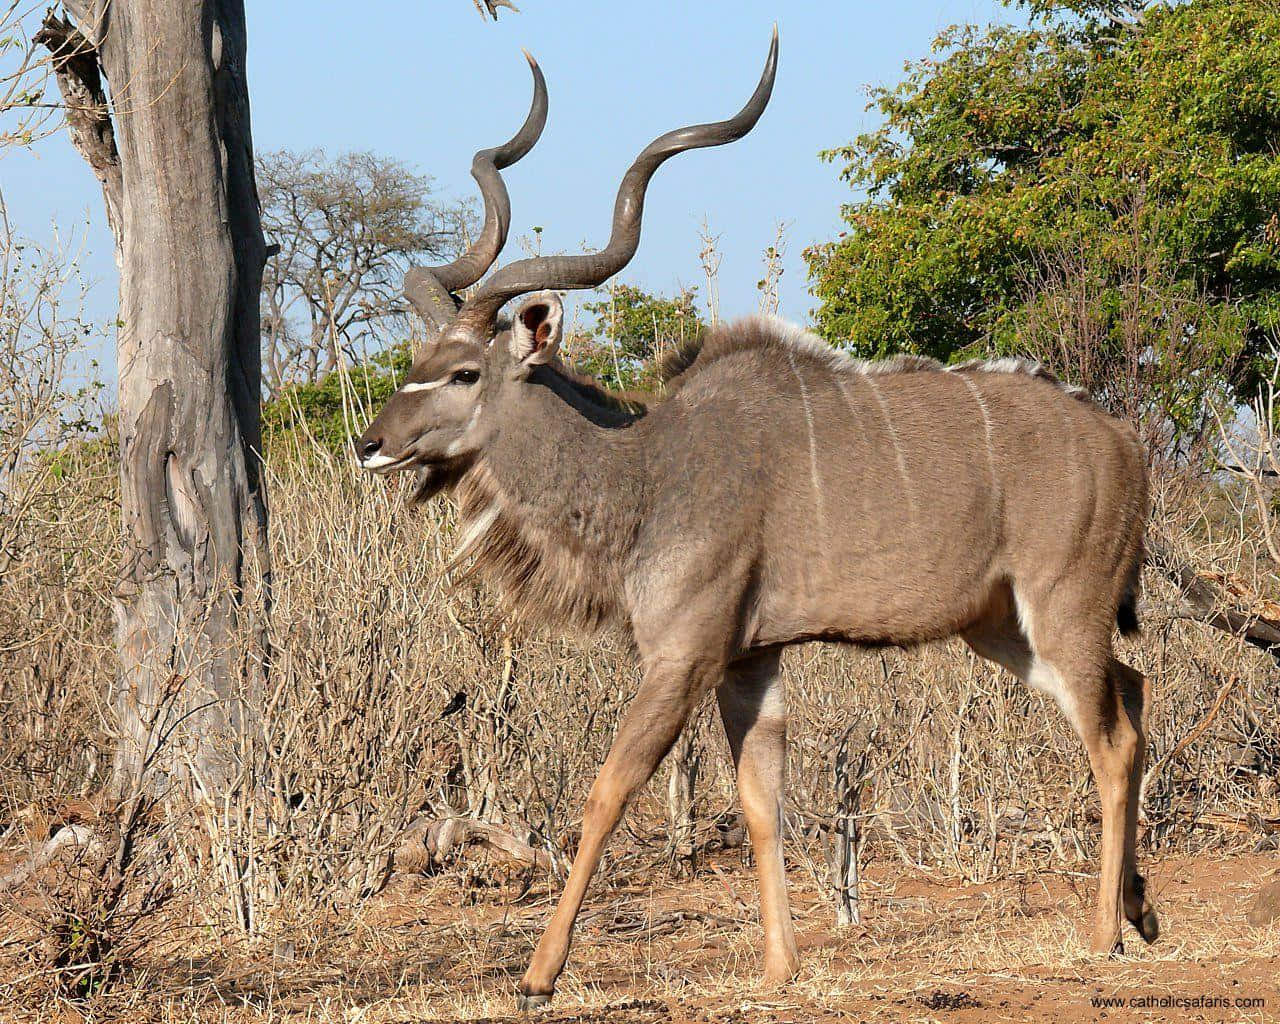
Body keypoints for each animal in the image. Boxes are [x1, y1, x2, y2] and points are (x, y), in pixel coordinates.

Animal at [355, 32, 1157, 1008]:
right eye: (416, 360)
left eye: (466, 372)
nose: (370, 444)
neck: (645, 470)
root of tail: (1124, 443)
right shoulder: (750, 661)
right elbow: (759, 800)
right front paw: (780, 965)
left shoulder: (684, 654)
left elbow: (610, 789)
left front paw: (540, 974)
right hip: (1001, 628)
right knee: (1133, 694)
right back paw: (1142, 912)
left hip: (1063, 607)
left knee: (1112, 739)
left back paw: (1104, 934)